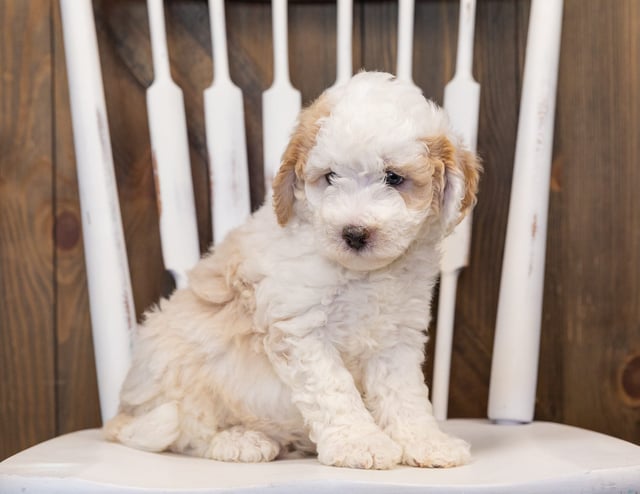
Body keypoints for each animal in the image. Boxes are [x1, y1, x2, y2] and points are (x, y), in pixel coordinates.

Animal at [105, 71, 480, 468]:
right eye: (330, 177)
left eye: (393, 178)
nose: (354, 233)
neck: (363, 274)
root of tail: (123, 412)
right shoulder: (301, 329)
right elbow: (335, 391)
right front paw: (359, 443)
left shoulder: (397, 336)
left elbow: (406, 394)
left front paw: (426, 442)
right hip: (180, 370)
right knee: (187, 430)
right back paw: (240, 441)